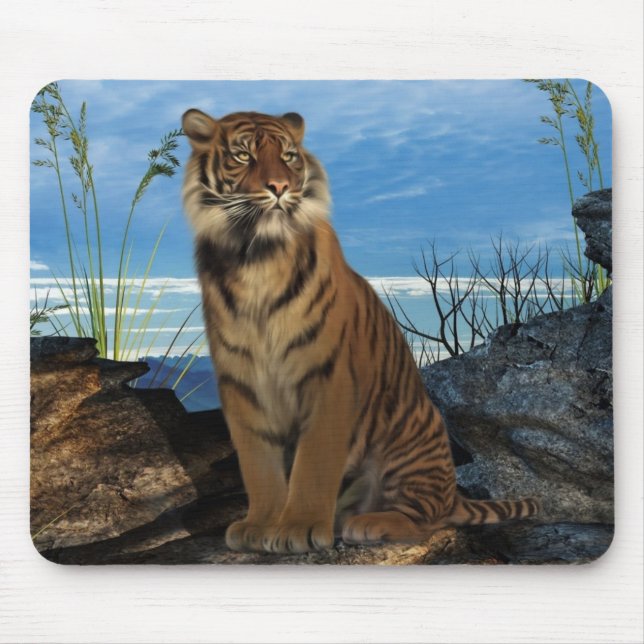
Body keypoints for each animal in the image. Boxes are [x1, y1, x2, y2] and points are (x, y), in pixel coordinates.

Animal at [181, 108, 540, 554]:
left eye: (288, 156)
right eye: (243, 156)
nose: (280, 187)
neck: (255, 257)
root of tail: (453, 493)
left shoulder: (328, 376)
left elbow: (313, 461)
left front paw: (298, 528)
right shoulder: (241, 383)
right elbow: (258, 464)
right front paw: (259, 526)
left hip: (409, 441)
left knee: (426, 518)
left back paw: (369, 522)